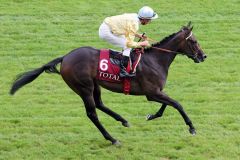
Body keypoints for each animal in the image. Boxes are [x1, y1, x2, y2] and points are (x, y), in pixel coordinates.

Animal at [10, 22, 206, 145]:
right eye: (194, 41)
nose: (203, 56)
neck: (156, 59)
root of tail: (65, 57)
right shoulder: (152, 93)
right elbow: (177, 104)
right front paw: (192, 128)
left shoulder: (156, 91)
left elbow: (168, 104)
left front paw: (152, 116)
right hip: (84, 87)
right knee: (92, 113)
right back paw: (112, 139)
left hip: (94, 84)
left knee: (99, 104)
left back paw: (123, 120)